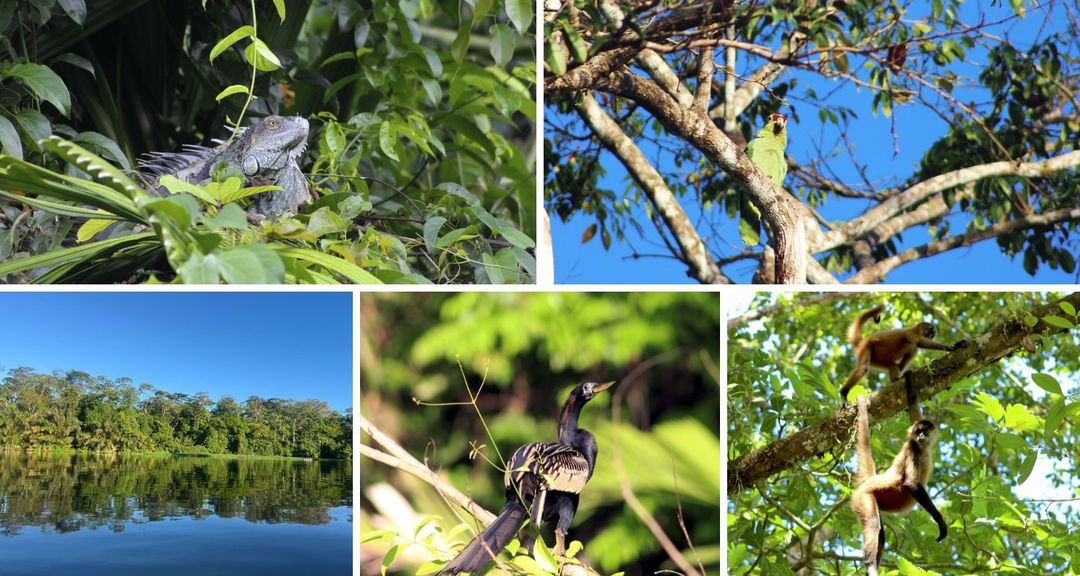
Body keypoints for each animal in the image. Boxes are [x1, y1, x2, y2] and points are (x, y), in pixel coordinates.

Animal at [851, 375, 947, 576]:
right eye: (918, 432)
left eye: (925, 431)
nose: (921, 436)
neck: (922, 450)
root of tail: (869, 481)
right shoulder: (912, 450)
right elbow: (911, 484)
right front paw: (941, 523)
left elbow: (913, 406)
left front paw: (909, 378)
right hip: (863, 497)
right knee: (873, 524)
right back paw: (870, 565)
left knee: (881, 535)